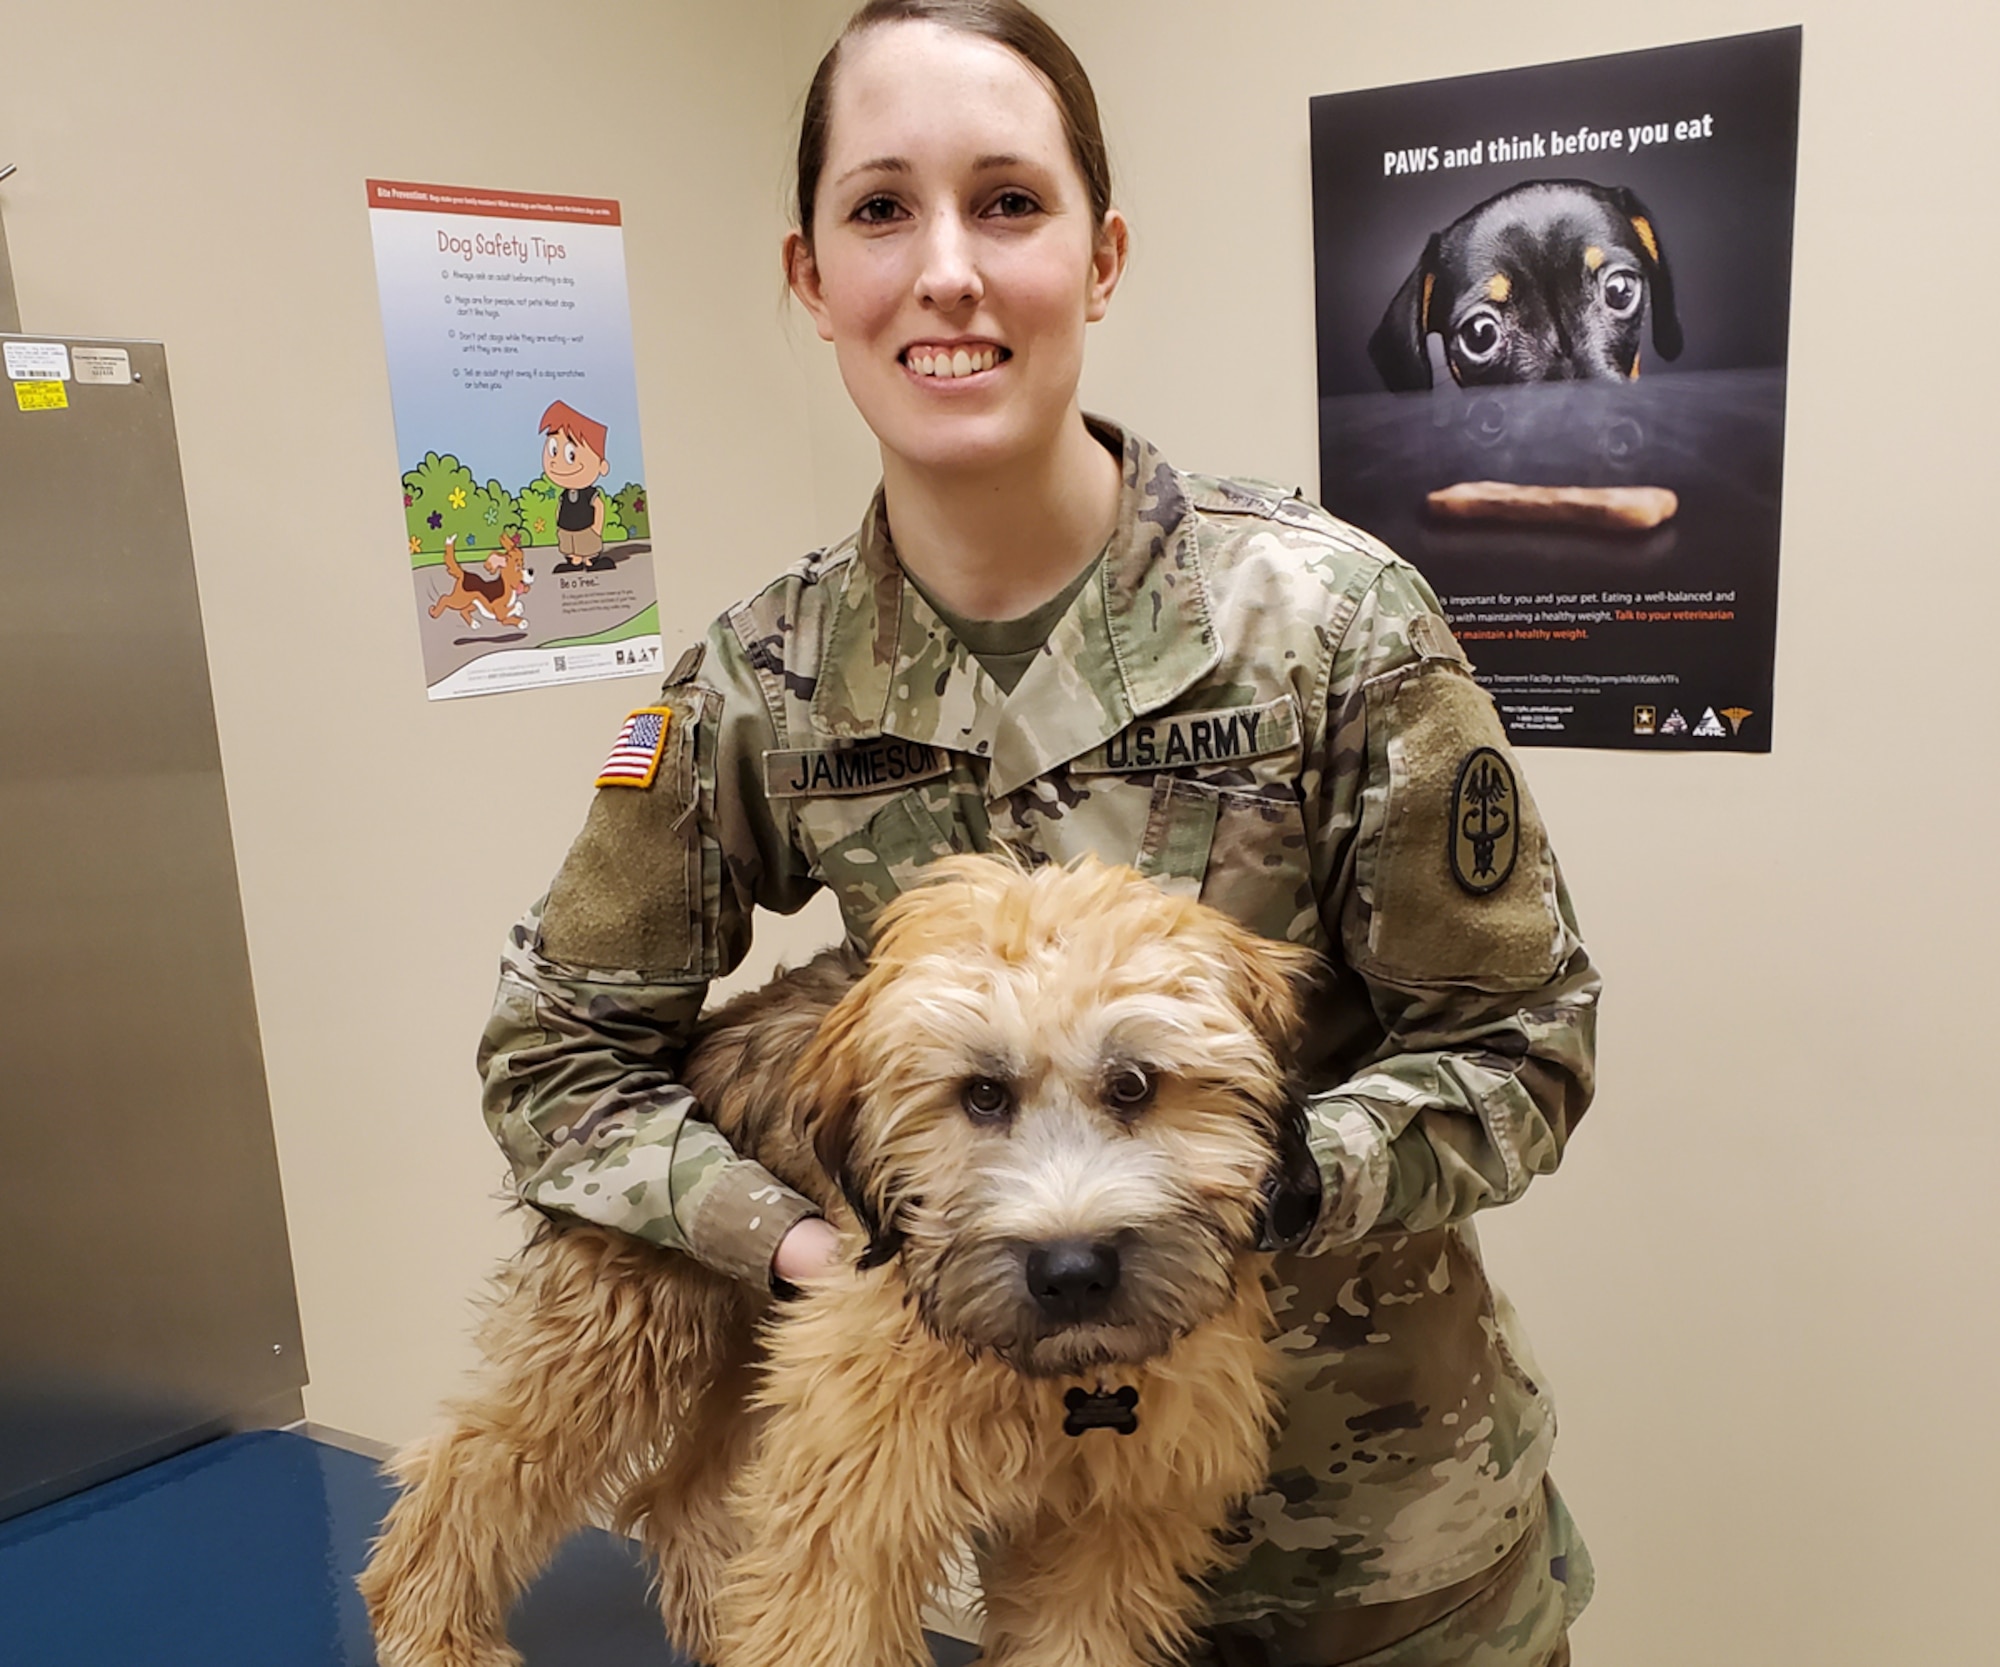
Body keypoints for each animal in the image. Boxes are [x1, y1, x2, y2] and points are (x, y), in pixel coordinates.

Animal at [360, 851, 1328, 1655]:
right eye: (982, 1093)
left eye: (1134, 1085)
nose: (1072, 1271)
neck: (1055, 1382)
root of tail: (703, 1035)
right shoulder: (855, 1506)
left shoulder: (1112, 1528)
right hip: (619, 1329)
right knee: (474, 1463)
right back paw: (434, 1631)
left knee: (683, 1497)